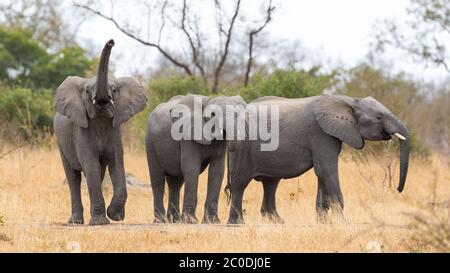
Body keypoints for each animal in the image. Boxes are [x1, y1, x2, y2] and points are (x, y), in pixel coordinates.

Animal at [53, 39, 147, 224]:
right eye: (87, 91)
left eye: (115, 90)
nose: (111, 41)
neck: (101, 117)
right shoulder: (80, 131)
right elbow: (90, 164)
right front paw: (100, 222)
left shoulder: (115, 130)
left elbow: (116, 162)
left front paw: (115, 215)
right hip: (61, 141)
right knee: (73, 177)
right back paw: (75, 221)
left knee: (99, 172)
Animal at [146, 93, 246, 223]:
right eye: (213, 114)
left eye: (237, 114)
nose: (228, 188)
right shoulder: (187, 135)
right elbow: (191, 168)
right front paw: (191, 221)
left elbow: (217, 171)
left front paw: (212, 221)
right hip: (150, 143)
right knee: (158, 180)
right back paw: (161, 221)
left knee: (176, 183)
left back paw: (176, 220)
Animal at [227, 94, 410, 224]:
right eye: (379, 117)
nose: (398, 189)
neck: (350, 101)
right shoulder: (321, 134)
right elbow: (327, 170)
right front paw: (343, 224)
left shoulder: (330, 135)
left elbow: (322, 174)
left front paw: (323, 223)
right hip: (242, 146)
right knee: (239, 185)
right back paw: (237, 224)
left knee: (270, 184)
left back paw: (278, 222)